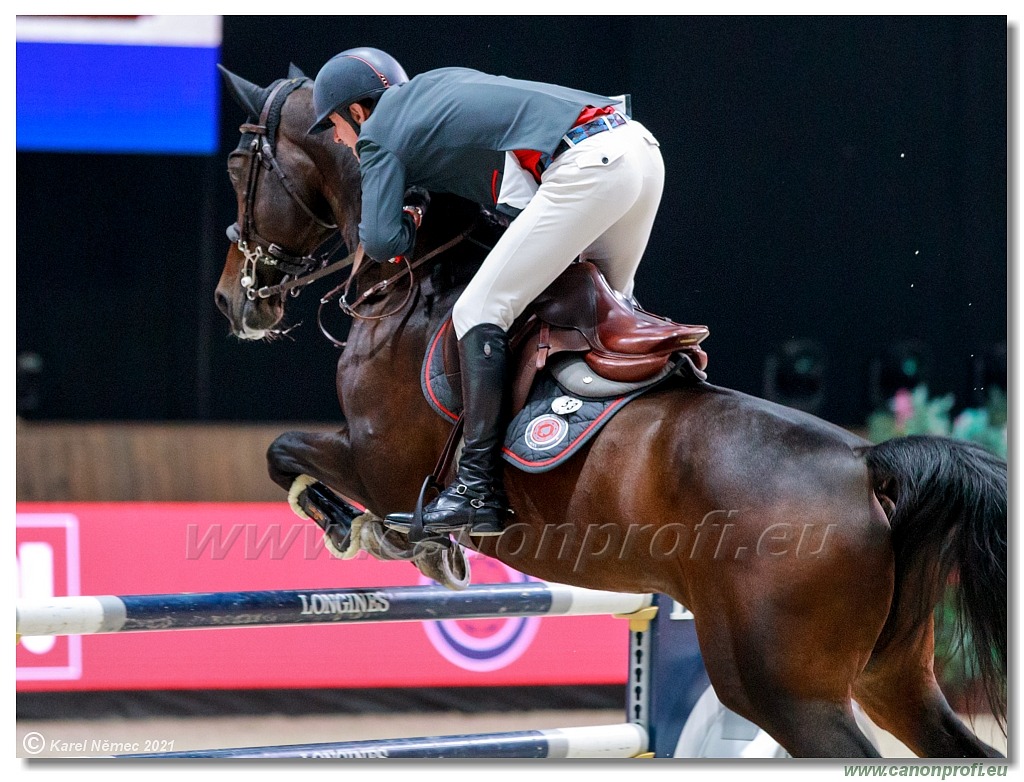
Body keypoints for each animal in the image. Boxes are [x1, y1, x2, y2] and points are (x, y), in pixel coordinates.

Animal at [211, 67, 1003, 757]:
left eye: (236, 165)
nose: (231, 300)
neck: (414, 280)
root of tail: (867, 463)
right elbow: (287, 453)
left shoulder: (378, 464)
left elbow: (285, 451)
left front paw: (374, 533)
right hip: (891, 678)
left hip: (783, 691)